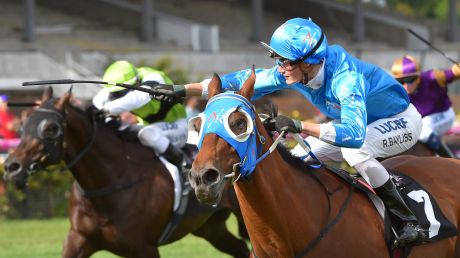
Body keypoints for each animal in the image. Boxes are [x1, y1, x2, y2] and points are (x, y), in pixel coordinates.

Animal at [2, 87, 248, 256]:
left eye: (50, 128)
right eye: (23, 123)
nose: (12, 167)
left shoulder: (144, 247)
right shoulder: (78, 239)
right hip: (209, 226)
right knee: (241, 249)